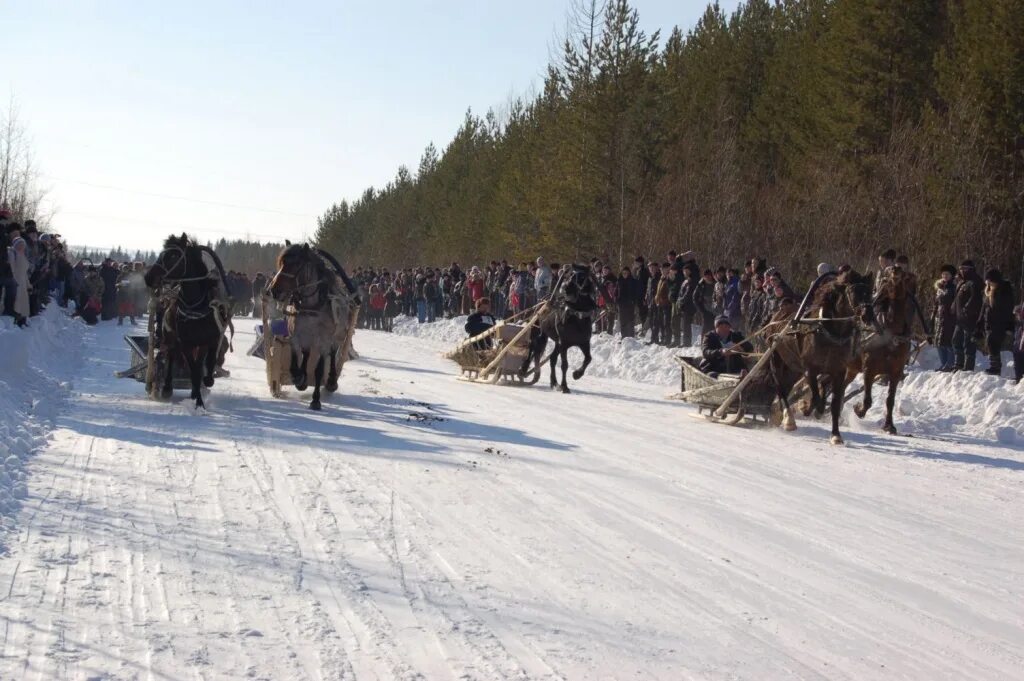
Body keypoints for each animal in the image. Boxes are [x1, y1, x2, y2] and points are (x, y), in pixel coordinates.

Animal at [144, 232, 232, 409]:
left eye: (173, 255)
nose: (148, 277)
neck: (195, 307)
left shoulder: (208, 341)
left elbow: (205, 366)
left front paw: (204, 386)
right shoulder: (185, 343)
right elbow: (193, 371)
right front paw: (198, 402)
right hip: (170, 337)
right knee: (170, 355)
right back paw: (167, 388)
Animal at [520, 264, 598, 393]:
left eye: (582, 277)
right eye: (570, 274)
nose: (566, 288)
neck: (577, 316)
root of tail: (543, 301)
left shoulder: (583, 342)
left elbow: (588, 358)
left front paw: (577, 374)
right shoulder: (564, 344)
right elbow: (564, 365)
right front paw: (565, 386)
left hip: (557, 342)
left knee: (552, 359)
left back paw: (554, 383)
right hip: (539, 335)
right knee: (532, 348)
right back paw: (523, 370)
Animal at [770, 270, 872, 446]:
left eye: (870, 292)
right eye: (853, 291)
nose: (868, 314)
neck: (831, 332)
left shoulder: (839, 371)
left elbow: (834, 404)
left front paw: (836, 435)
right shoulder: (810, 369)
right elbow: (816, 399)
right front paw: (805, 407)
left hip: (792, 368)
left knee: (788, 386)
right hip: (777, 360)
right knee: (780, 387)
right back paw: (789, 419)